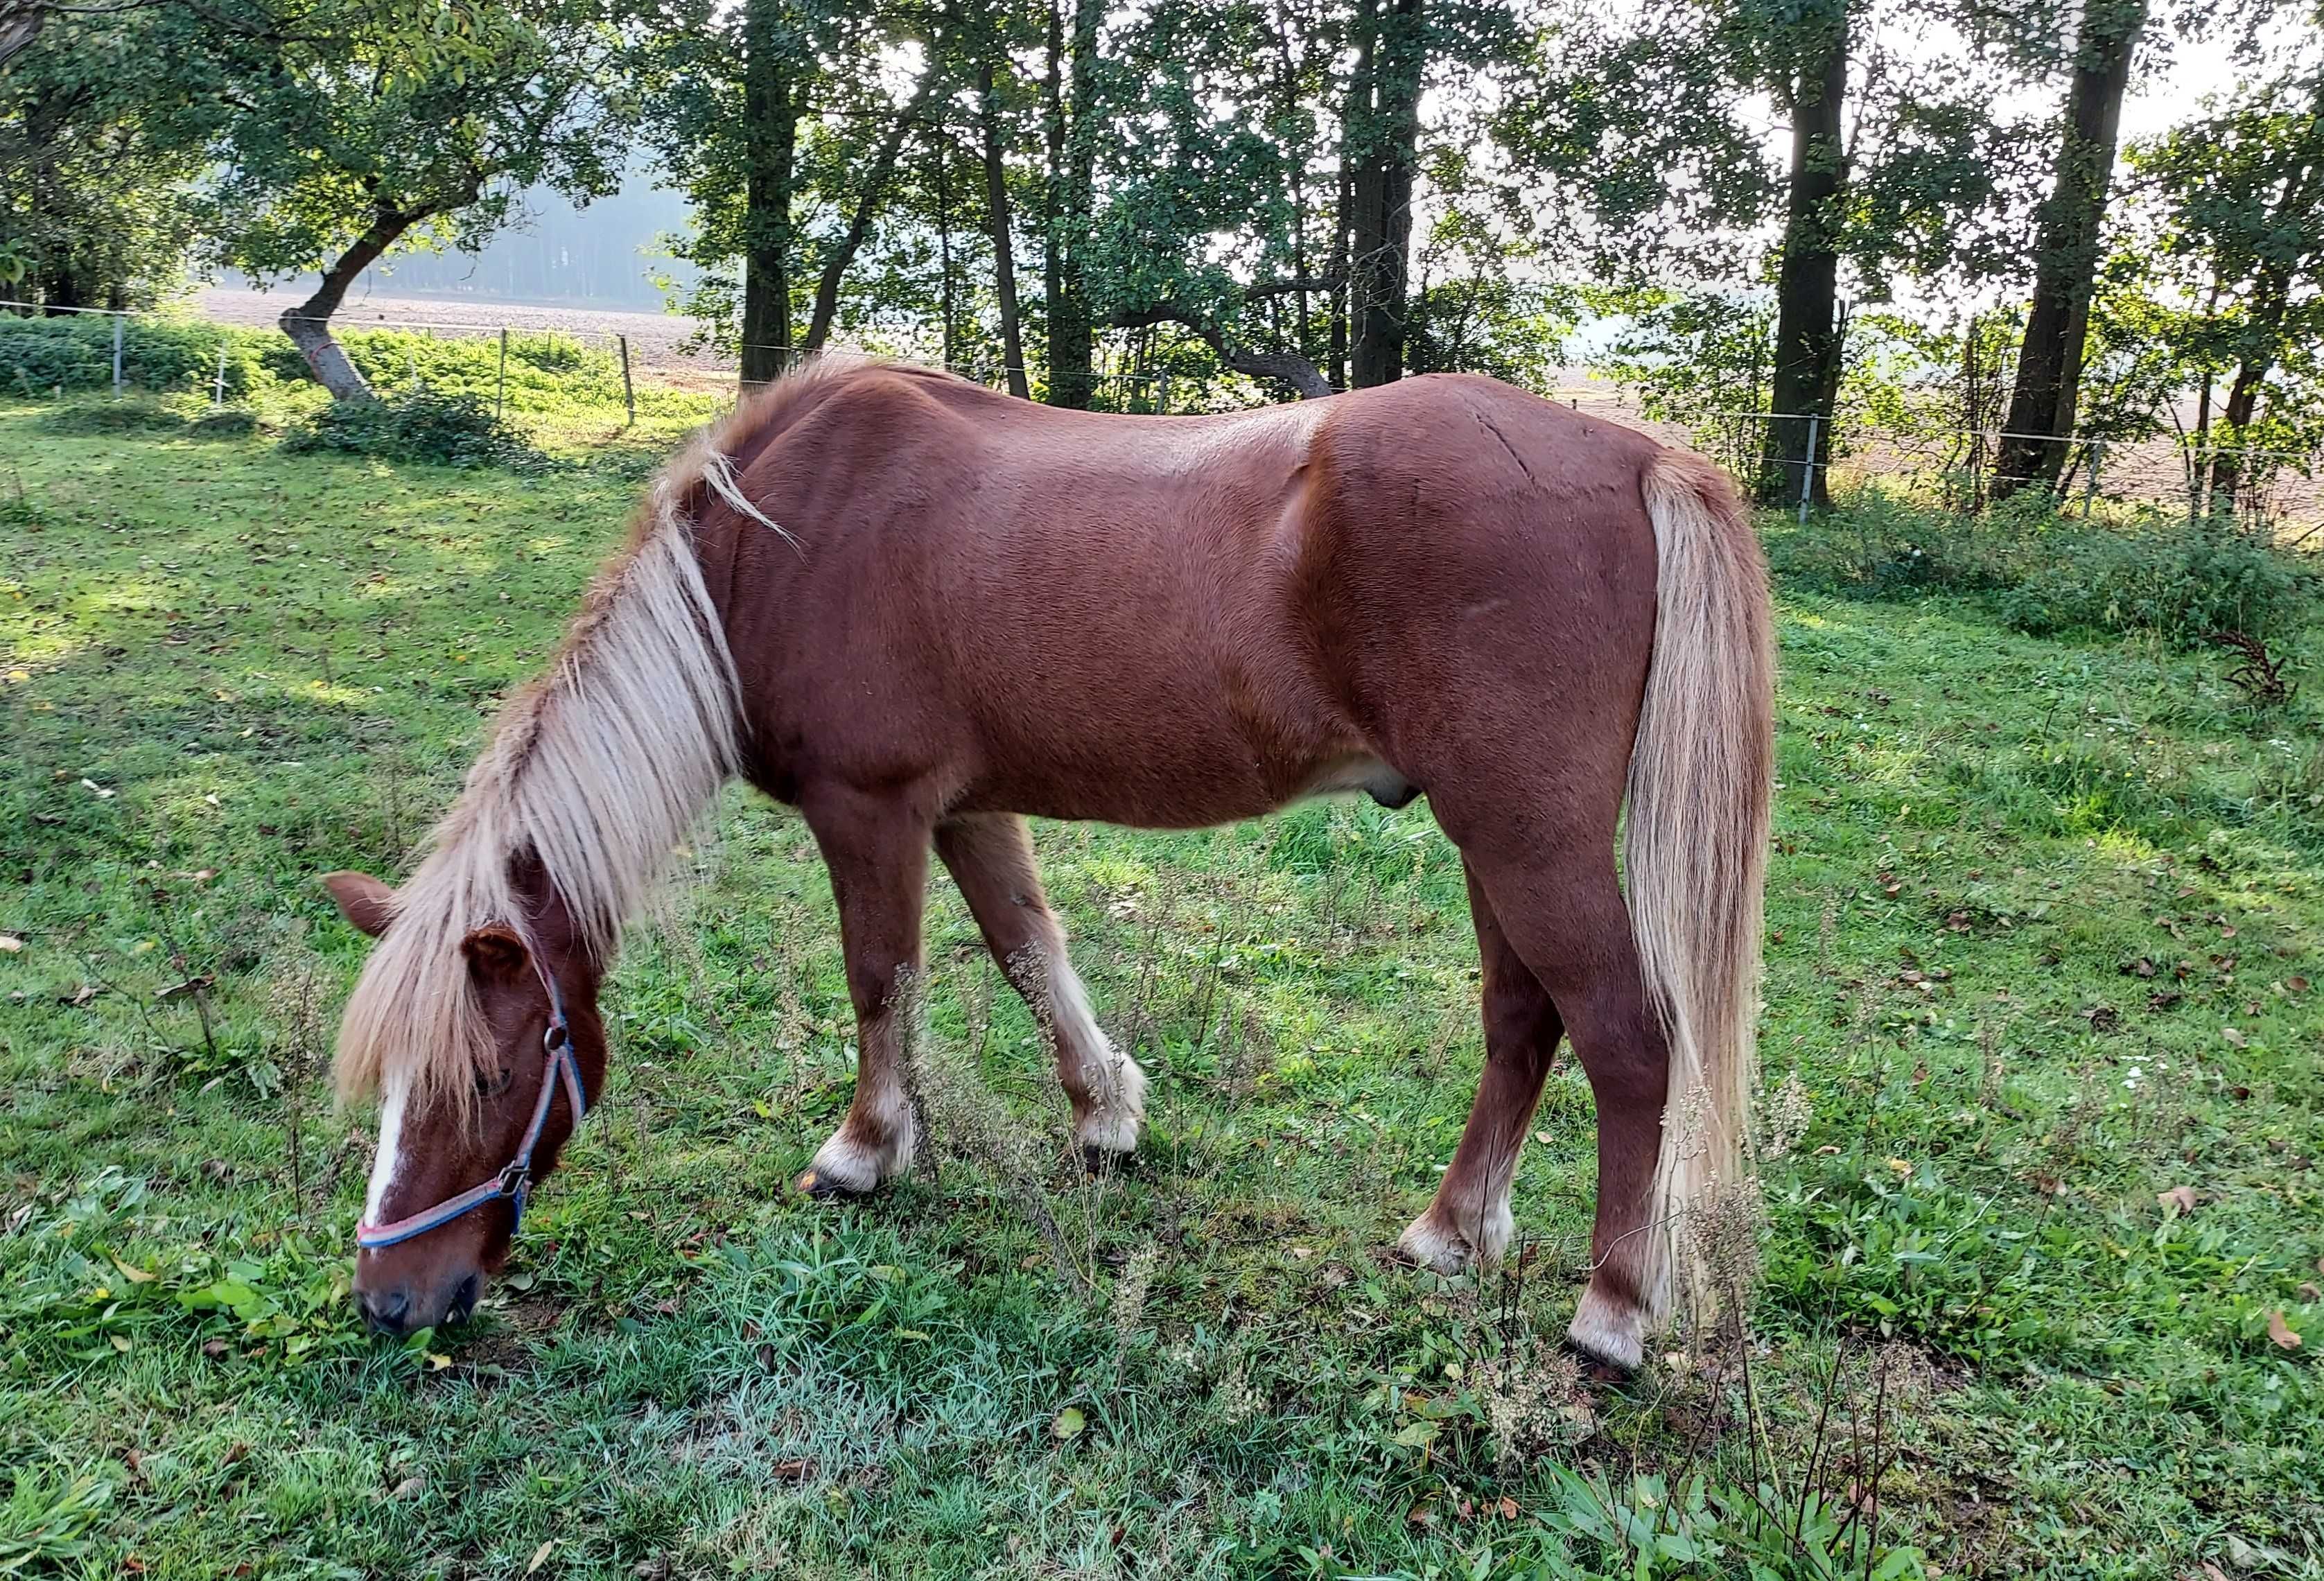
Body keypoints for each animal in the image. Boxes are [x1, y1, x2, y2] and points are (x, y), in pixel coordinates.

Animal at [327, 351, 1766, 1367]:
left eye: (488, 1076)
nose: (387, 1301)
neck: (773, 540)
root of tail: (1636, 454)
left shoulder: (870, 810)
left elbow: (881, 976)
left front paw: (864, 1153)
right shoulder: (964, 808)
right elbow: (1026, 946)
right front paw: (1106, 1114)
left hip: (1527, 837)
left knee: (1627, 1039)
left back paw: (1613, 1310)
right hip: (1492, 838)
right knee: (1523, 1020)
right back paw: (1451, 1231)